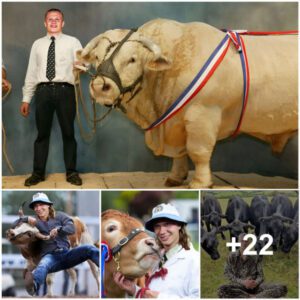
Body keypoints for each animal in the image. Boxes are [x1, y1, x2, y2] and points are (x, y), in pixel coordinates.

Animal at [78, 18, 298, 188]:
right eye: (96, 56)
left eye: (132, 59)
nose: (100, 86)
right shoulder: (175, 123)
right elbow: (179, 153)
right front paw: (175, 178)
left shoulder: (203, 115)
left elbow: (198, 151)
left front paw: (201, 182)